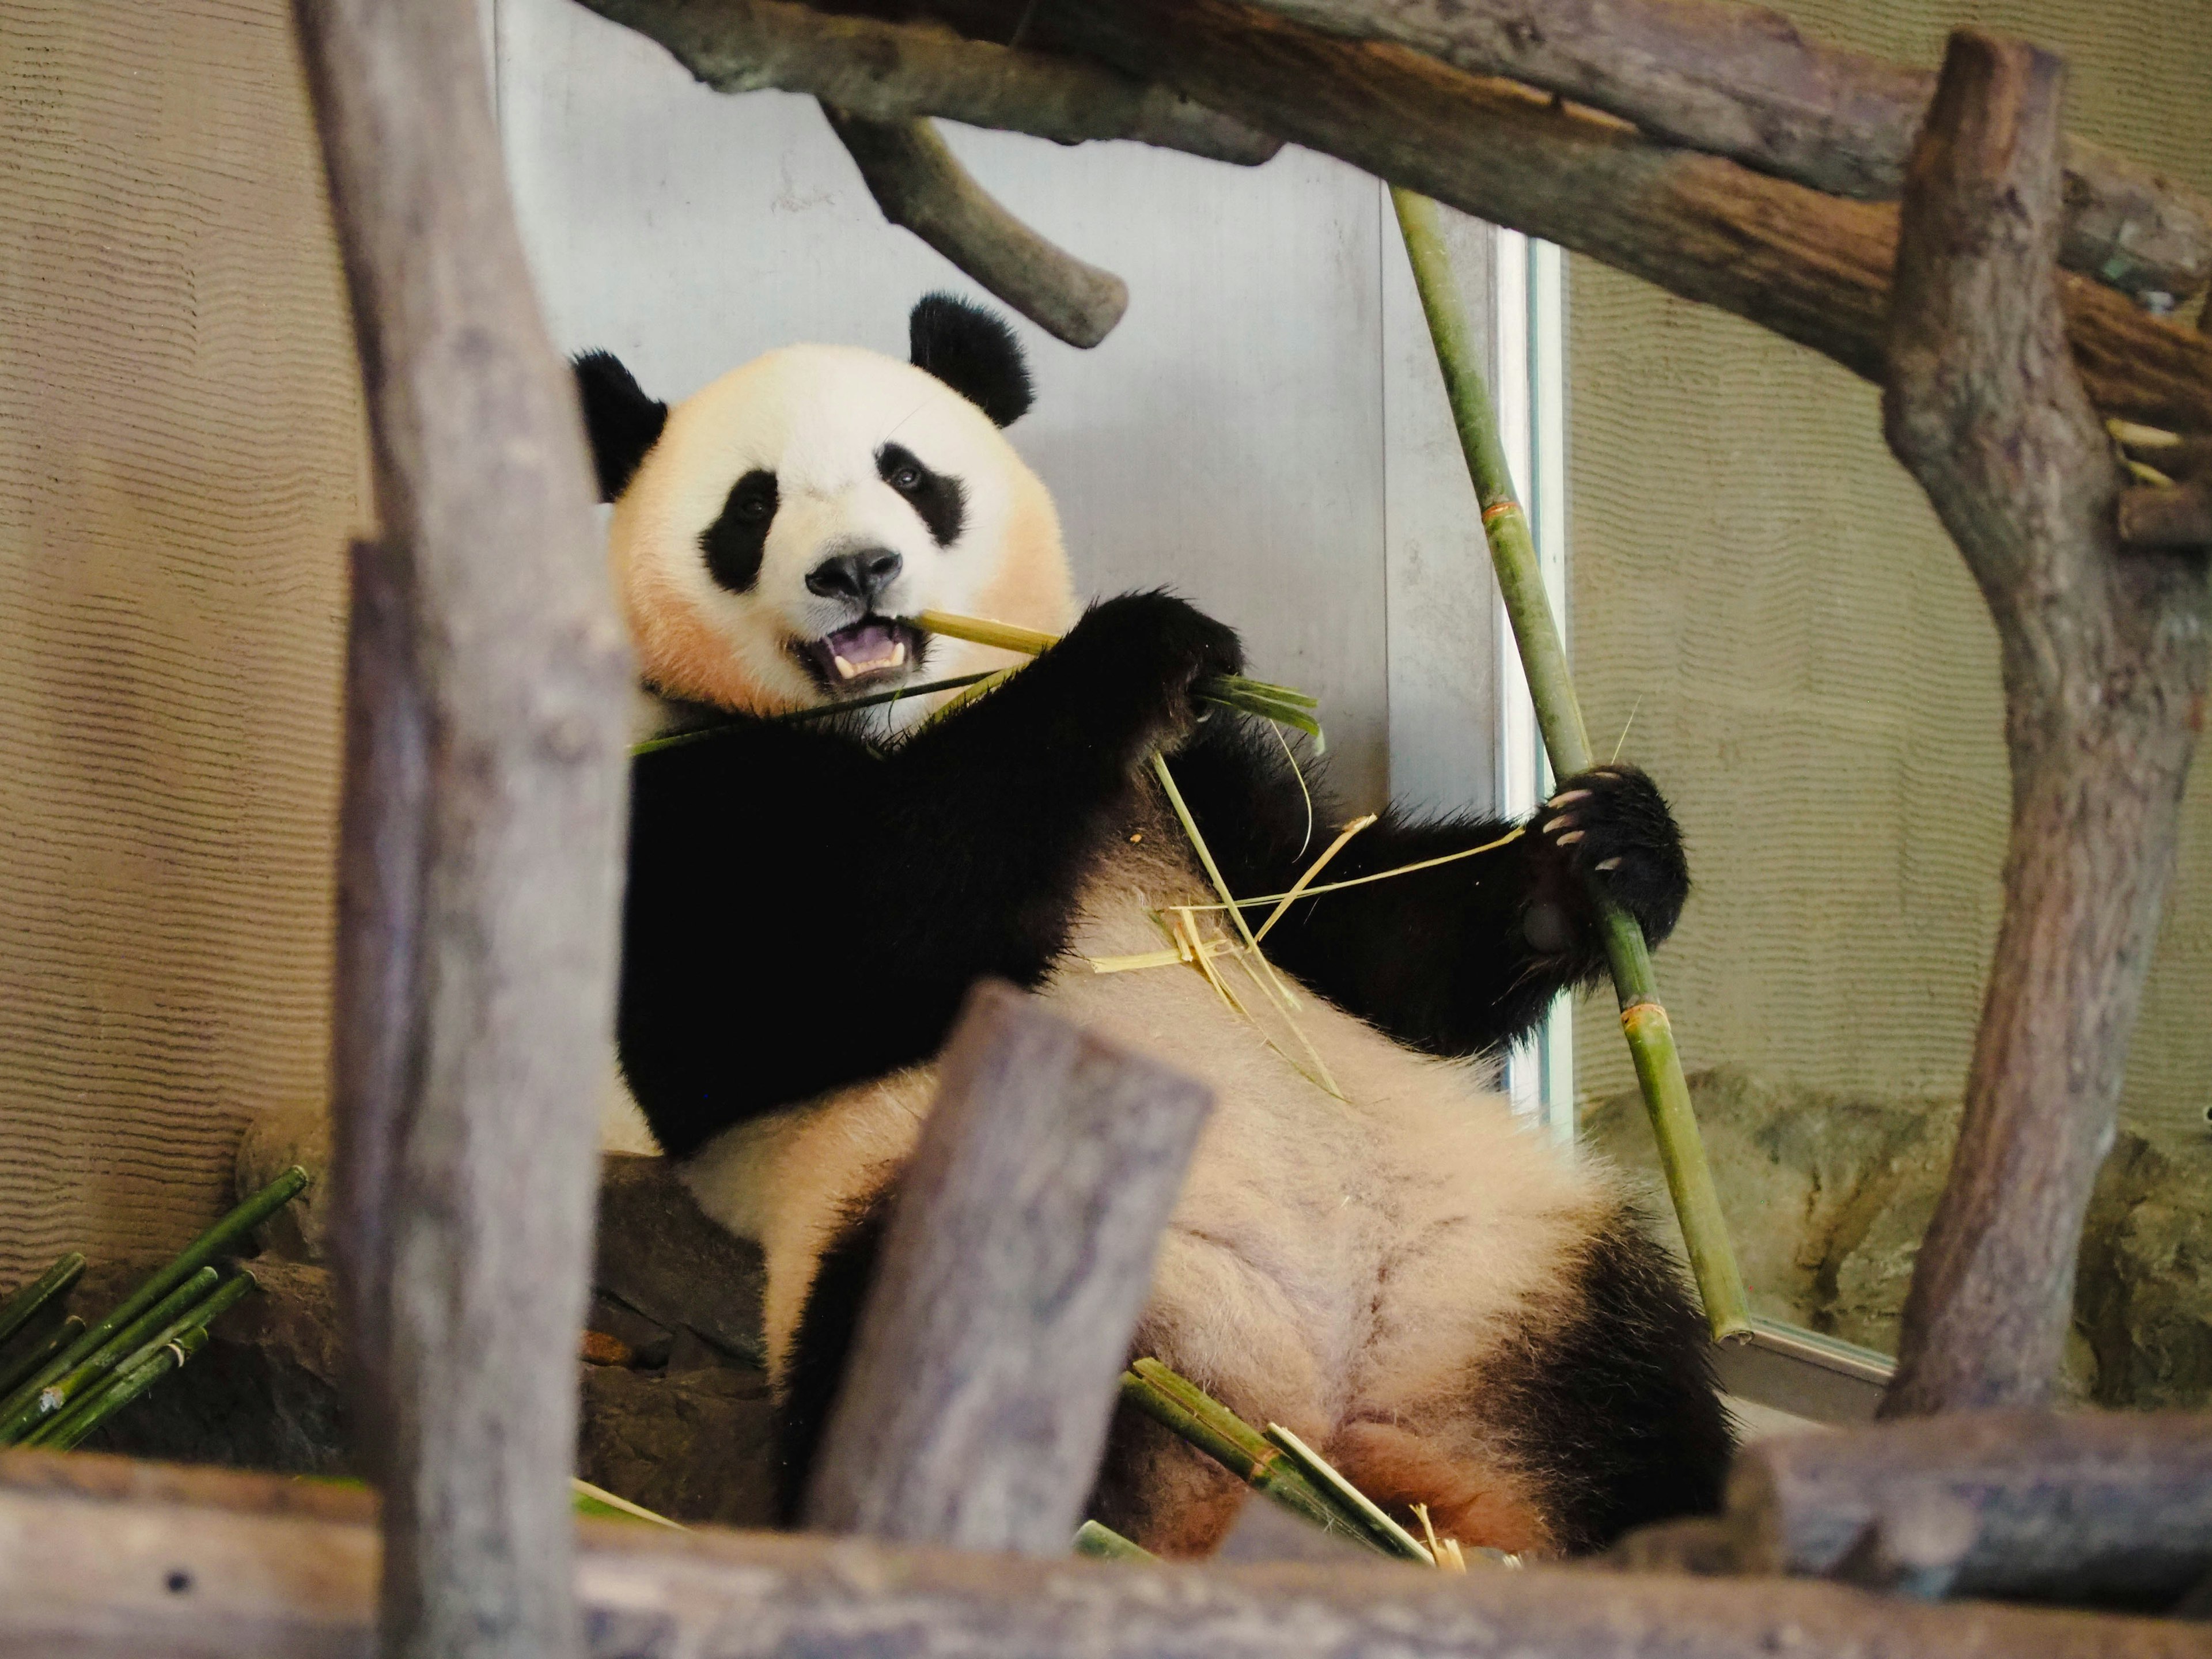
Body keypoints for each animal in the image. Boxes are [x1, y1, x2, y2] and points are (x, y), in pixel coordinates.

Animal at [570, 296, 1725, 1557]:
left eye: (910, 474)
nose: (858, 570)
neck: (903, 721)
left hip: (1517, 1276)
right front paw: (1130, 651)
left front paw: (1602, 849)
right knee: (946, 1419)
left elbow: (1352, 935)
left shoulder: (1202, 791)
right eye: (752, 507)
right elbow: (788, 988)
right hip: (980, 1249)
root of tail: (1308, 1426)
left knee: (1646, 1414)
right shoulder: (681, 784)